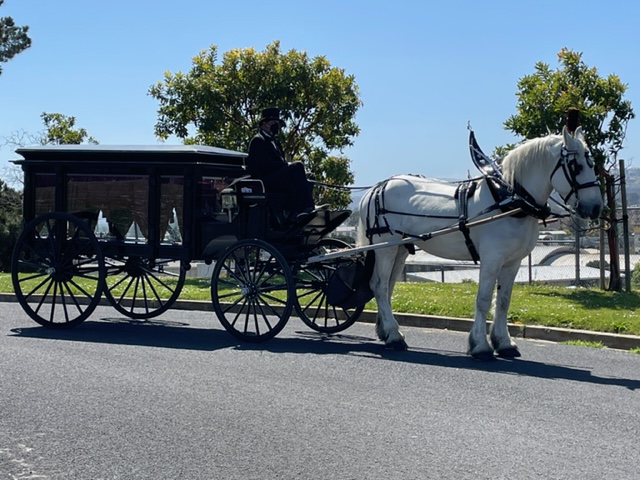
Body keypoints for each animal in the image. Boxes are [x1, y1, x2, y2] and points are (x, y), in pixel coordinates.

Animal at [358, 127, 604, 360]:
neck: (509, 200)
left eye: (592, 163)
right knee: (379, 286)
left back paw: (388, 331)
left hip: (400, 248)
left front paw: (504, 343)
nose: (595, 208)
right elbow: (484, 299)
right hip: (386, 246)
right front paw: (480, 346)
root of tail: (376, 188)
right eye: (576, 166)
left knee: (388, 286)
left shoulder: (512, 262)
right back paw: (394, 336)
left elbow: (503, 300)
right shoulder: (491, 258)